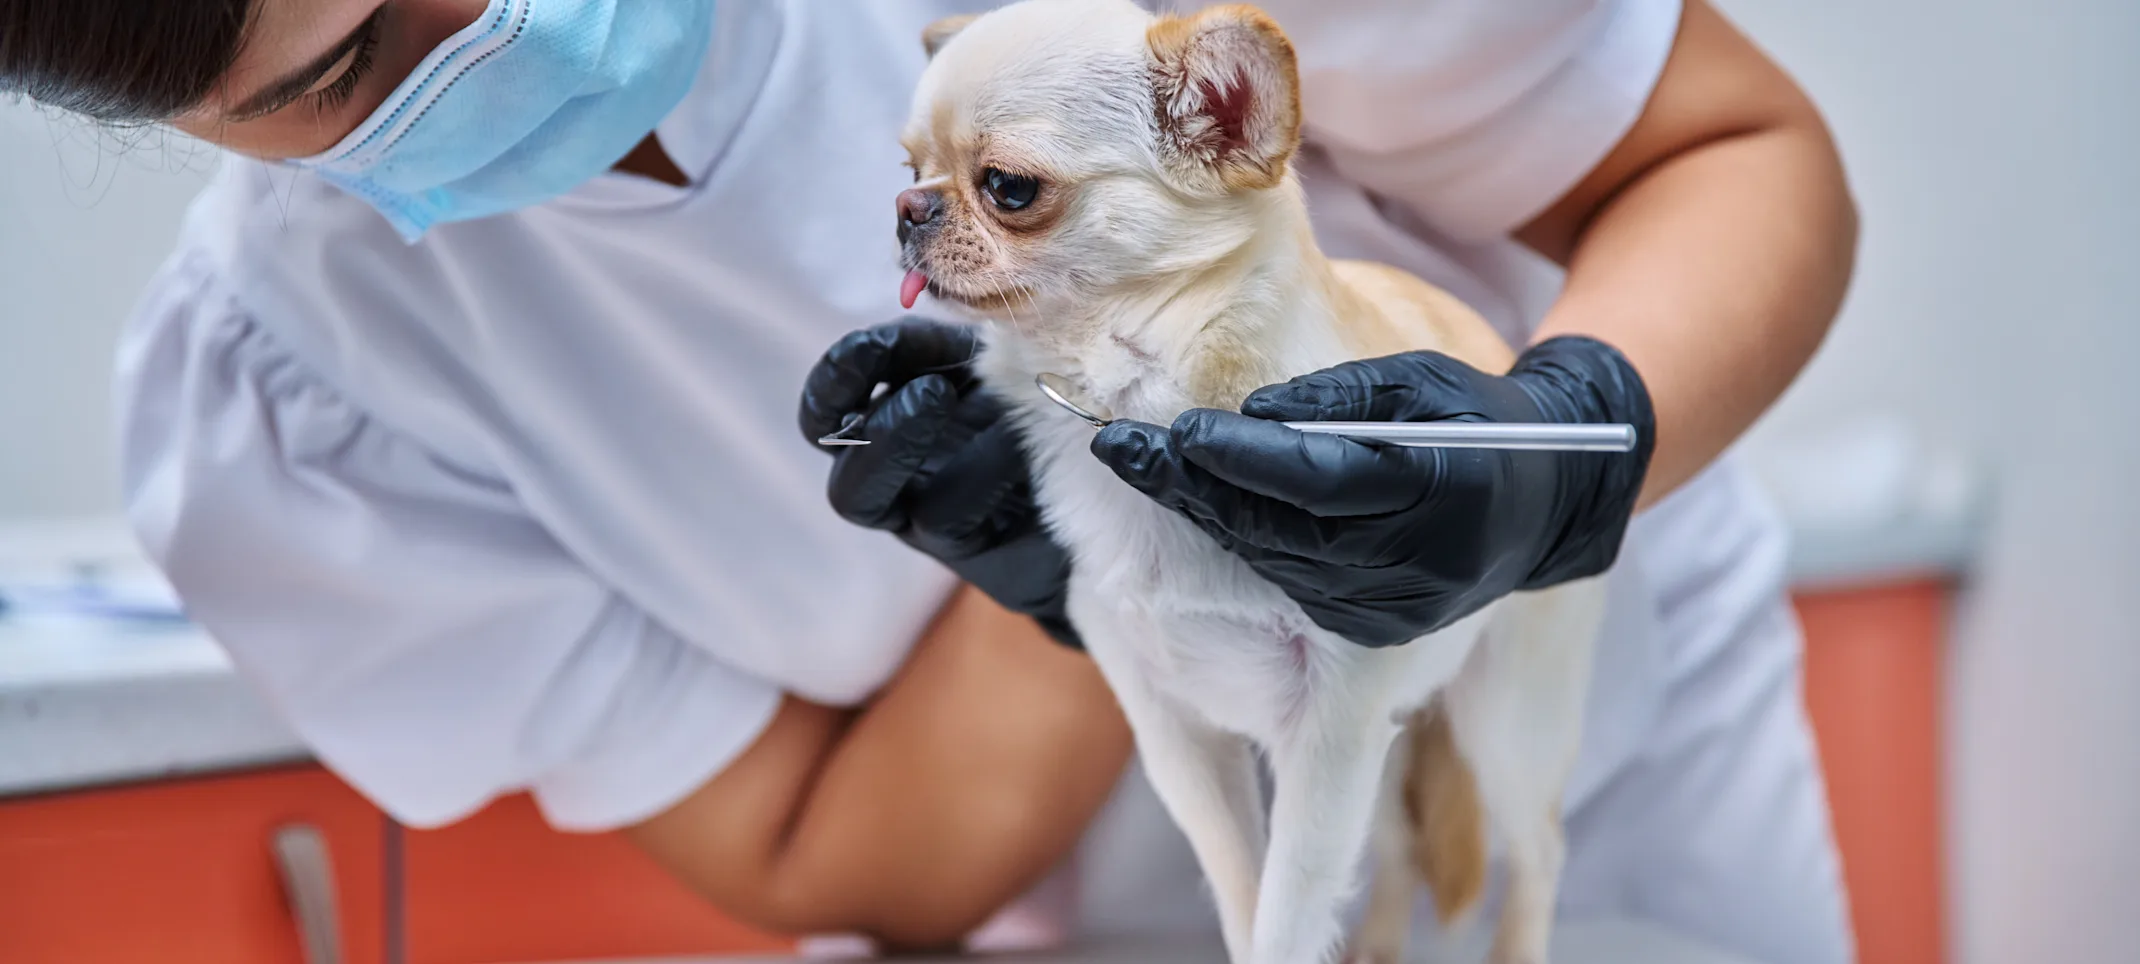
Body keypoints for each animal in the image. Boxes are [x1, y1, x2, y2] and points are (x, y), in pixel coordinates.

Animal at [890, 3, 1609, 959]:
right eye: (909, 169)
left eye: (1008, 187)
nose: (906, 208)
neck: (1147, 398)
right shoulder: (1185, 736)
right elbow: (1243, 890)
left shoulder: (1327, 742)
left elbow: (1287, 914)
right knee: (1398, 843)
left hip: (1506, 722)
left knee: (1539, 850)